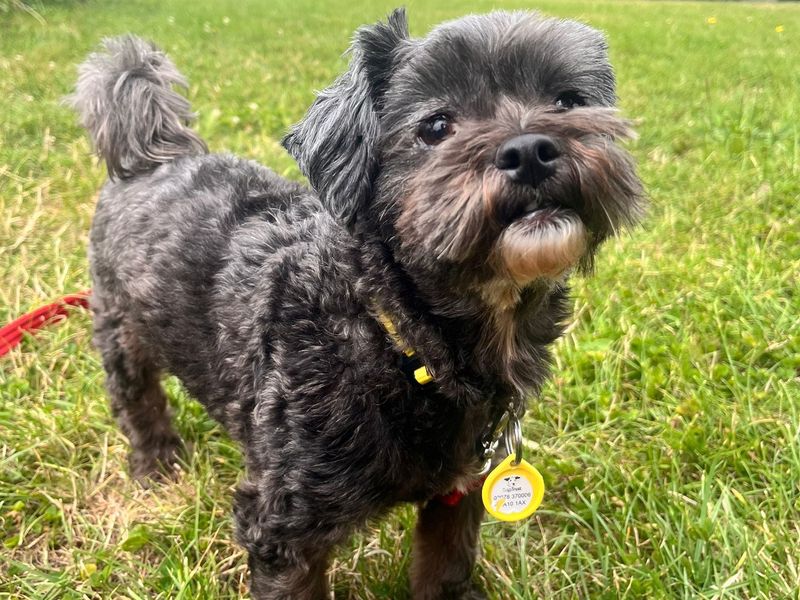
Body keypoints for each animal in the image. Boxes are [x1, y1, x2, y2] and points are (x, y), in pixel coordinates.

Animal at [69, 10, 644, 600]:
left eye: (568, 100)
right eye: (436, 126)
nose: (529, 149)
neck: (389, 335)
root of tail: (151, 153)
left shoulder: (459, 487)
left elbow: (446, 565)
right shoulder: (284, 526)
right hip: (118, 324)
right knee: (135, 395)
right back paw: (156, 462)